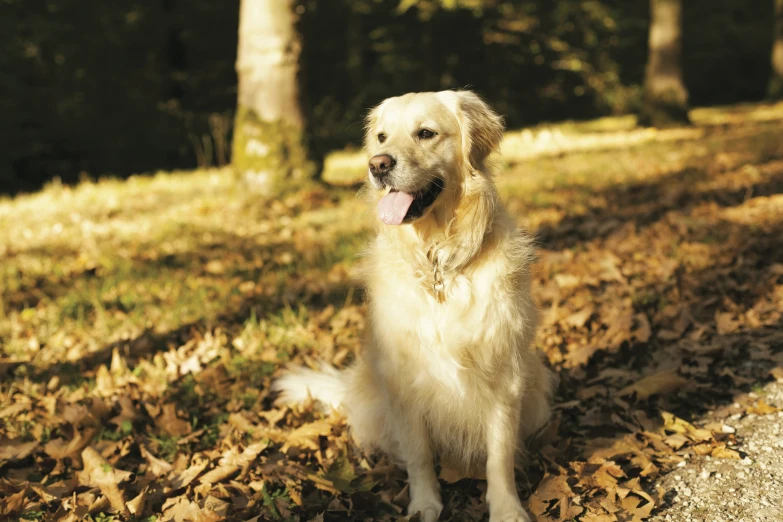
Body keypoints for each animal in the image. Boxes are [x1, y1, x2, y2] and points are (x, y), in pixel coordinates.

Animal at [276, 90, 556, 520]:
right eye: (381, 137)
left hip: (537, 388)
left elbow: (499, 454)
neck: (438, 261)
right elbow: (419, 455)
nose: (378, 164)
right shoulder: (404, 380)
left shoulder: (503, 373)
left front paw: (507, 507)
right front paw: (424, 504)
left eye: (425, 133)